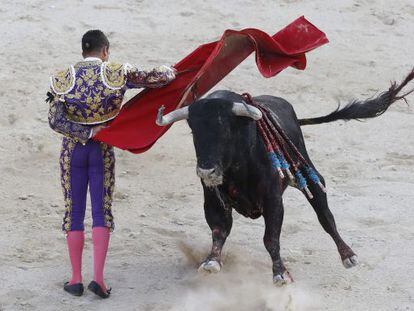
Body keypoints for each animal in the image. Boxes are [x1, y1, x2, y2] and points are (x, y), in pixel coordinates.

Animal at [156, 70, 414, 286]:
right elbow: (219, 229)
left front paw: (280, 273)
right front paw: (211, 261)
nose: (206, 171)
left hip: (309, 176)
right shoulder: (212, 198)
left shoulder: (273, 200)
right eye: (194, 131)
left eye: (226, 130)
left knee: (325, 216)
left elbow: (271, 238)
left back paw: (348, 255)